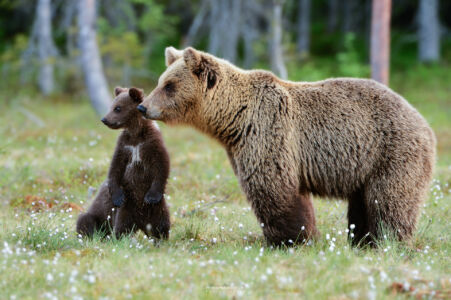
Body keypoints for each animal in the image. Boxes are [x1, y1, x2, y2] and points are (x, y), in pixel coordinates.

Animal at [137, 47, 434, 246]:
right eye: (161, 81)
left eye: (169, 85)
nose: (143, 106)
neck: (233, 120)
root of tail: (424, 122)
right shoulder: (240, 146)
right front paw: (302, 235)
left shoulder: (268, 132)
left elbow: (273, 188)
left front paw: (288, 238)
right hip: (366, 166)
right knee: (363, 203)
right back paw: (363, 240)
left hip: (391, 152)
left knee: (389, 200)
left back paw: (388, 240)